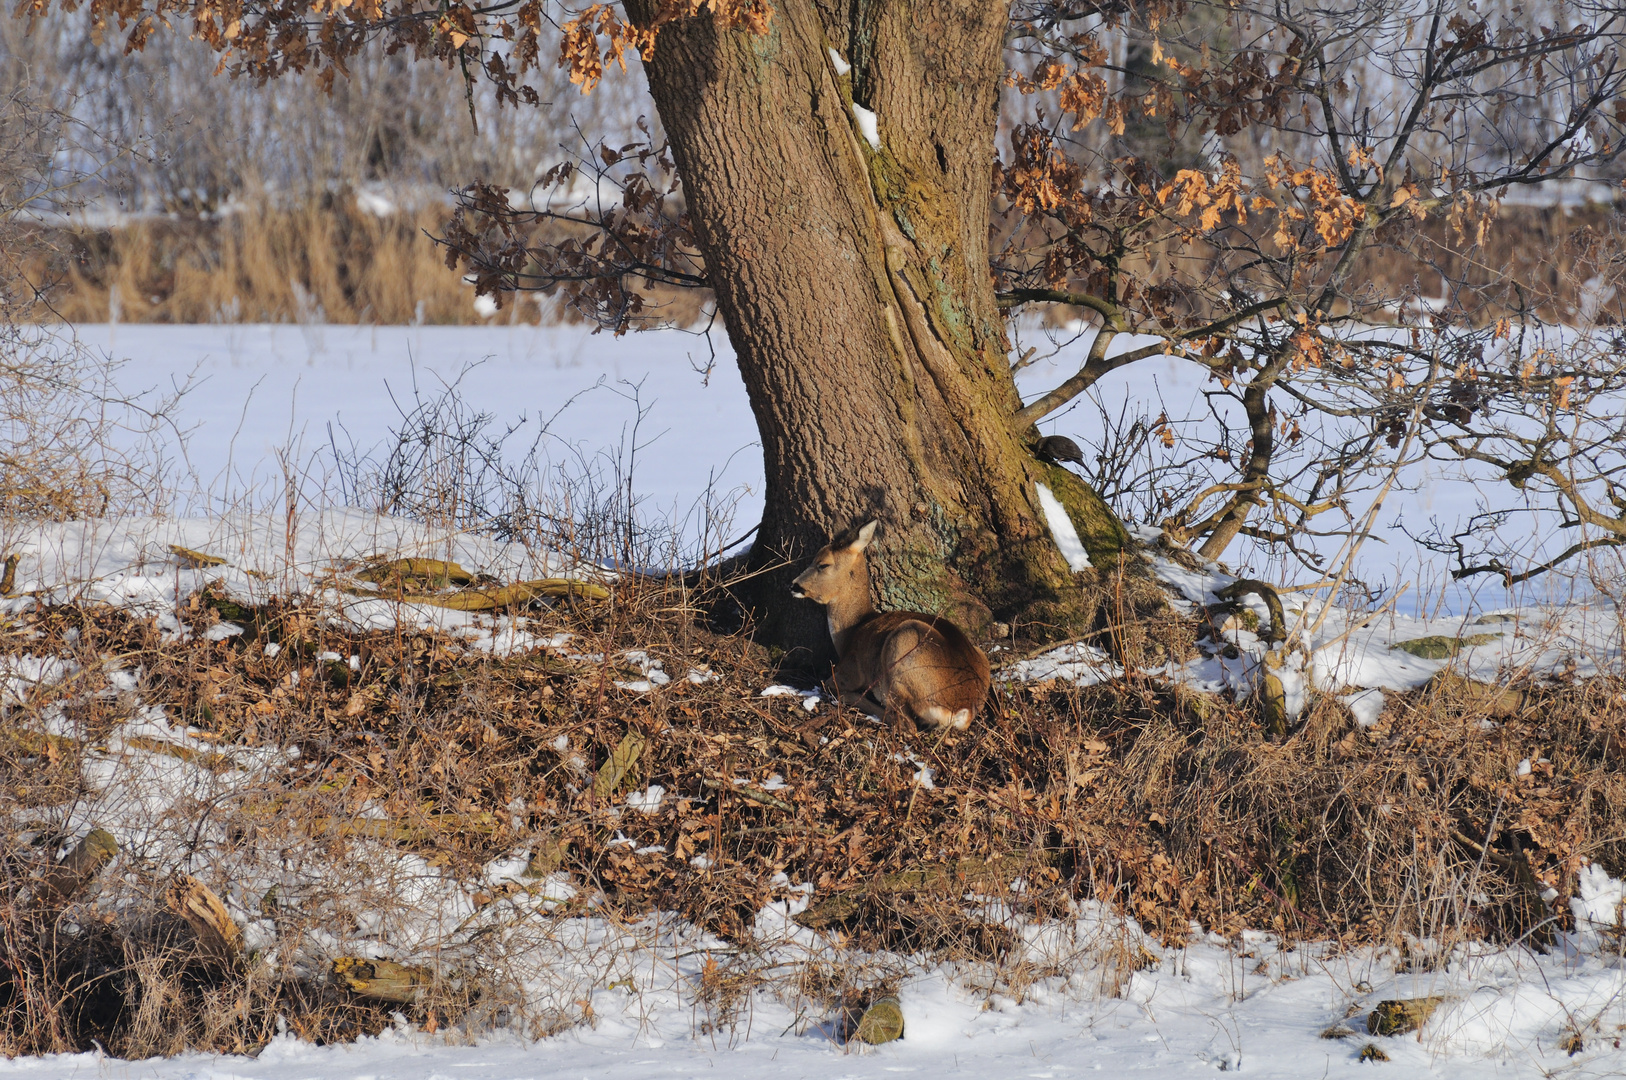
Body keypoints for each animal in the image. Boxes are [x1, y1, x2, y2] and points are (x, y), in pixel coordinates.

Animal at [786, 520, 988, 728]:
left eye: (823, 564)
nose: (793, 585)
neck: (852, 630)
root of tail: (961, 710)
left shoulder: (849, 669)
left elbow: (828, 683)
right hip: (980, 654)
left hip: (904, 645)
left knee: (905, 723)